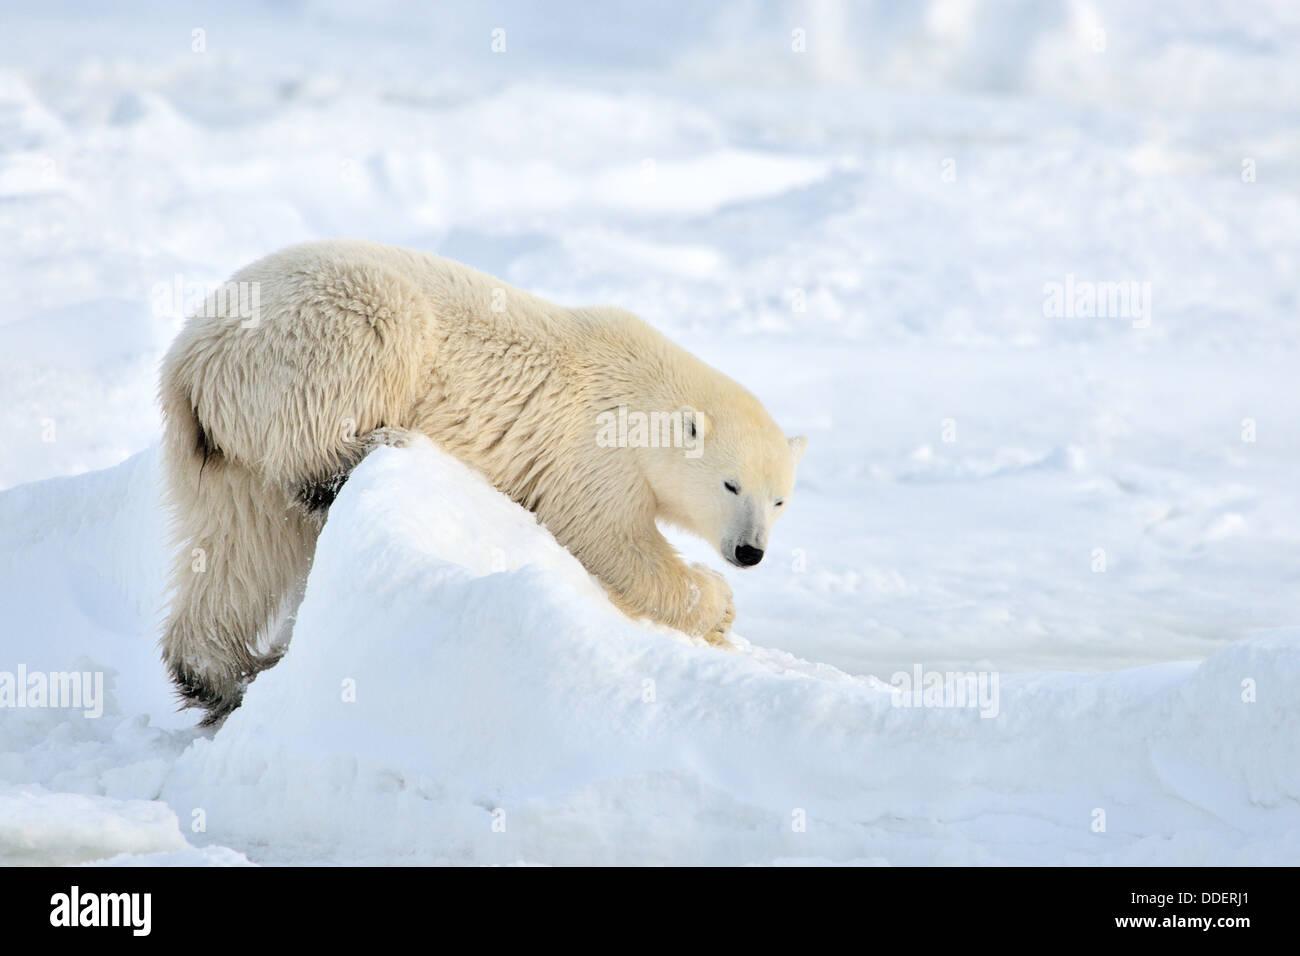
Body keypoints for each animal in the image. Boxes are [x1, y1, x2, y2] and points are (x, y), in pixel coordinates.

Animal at [158, 240, 806, 723]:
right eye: (731, 485)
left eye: (780, 501)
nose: (749, 552)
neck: (644, 389)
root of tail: (194, 358)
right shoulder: (595, 449)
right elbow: (609, 540)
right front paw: (716, 603)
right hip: (322, 333)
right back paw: (367, 449)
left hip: (224, 447)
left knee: (239, 546)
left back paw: (218, 676)